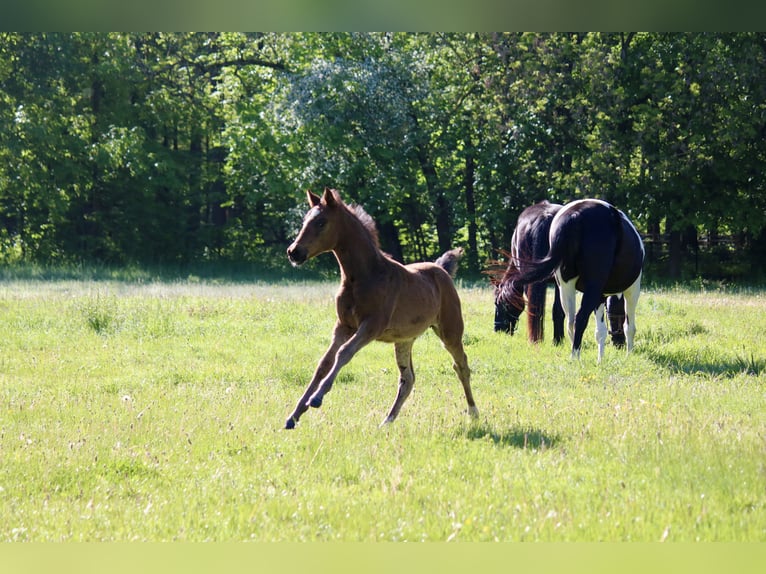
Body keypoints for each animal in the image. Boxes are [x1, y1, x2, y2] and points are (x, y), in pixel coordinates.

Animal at [284, 188, 479, 429]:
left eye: (321, 222)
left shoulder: (371, 326)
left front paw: (317, 398)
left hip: (450, 330)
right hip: (404, 340)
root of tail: (440, 268)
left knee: (461, 365)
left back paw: (473, 412)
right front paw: (294, 414)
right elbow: (324, 363)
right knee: (408, 379)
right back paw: (387, 421)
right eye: (304, 221)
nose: (294, 252)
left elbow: (344, 352)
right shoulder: (343, 326)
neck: (363, 276)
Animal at [508, 198, 645, 362]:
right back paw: (575, 355)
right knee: (580, 319)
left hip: (565, 286)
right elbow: (629, 327)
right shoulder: (632, 290)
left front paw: (600, 360)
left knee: (570, 321)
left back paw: (574, 357)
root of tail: (574, 216)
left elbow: (600, 331)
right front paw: (628, 355)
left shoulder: (599, 296)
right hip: (592, 288)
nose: (619, 344)